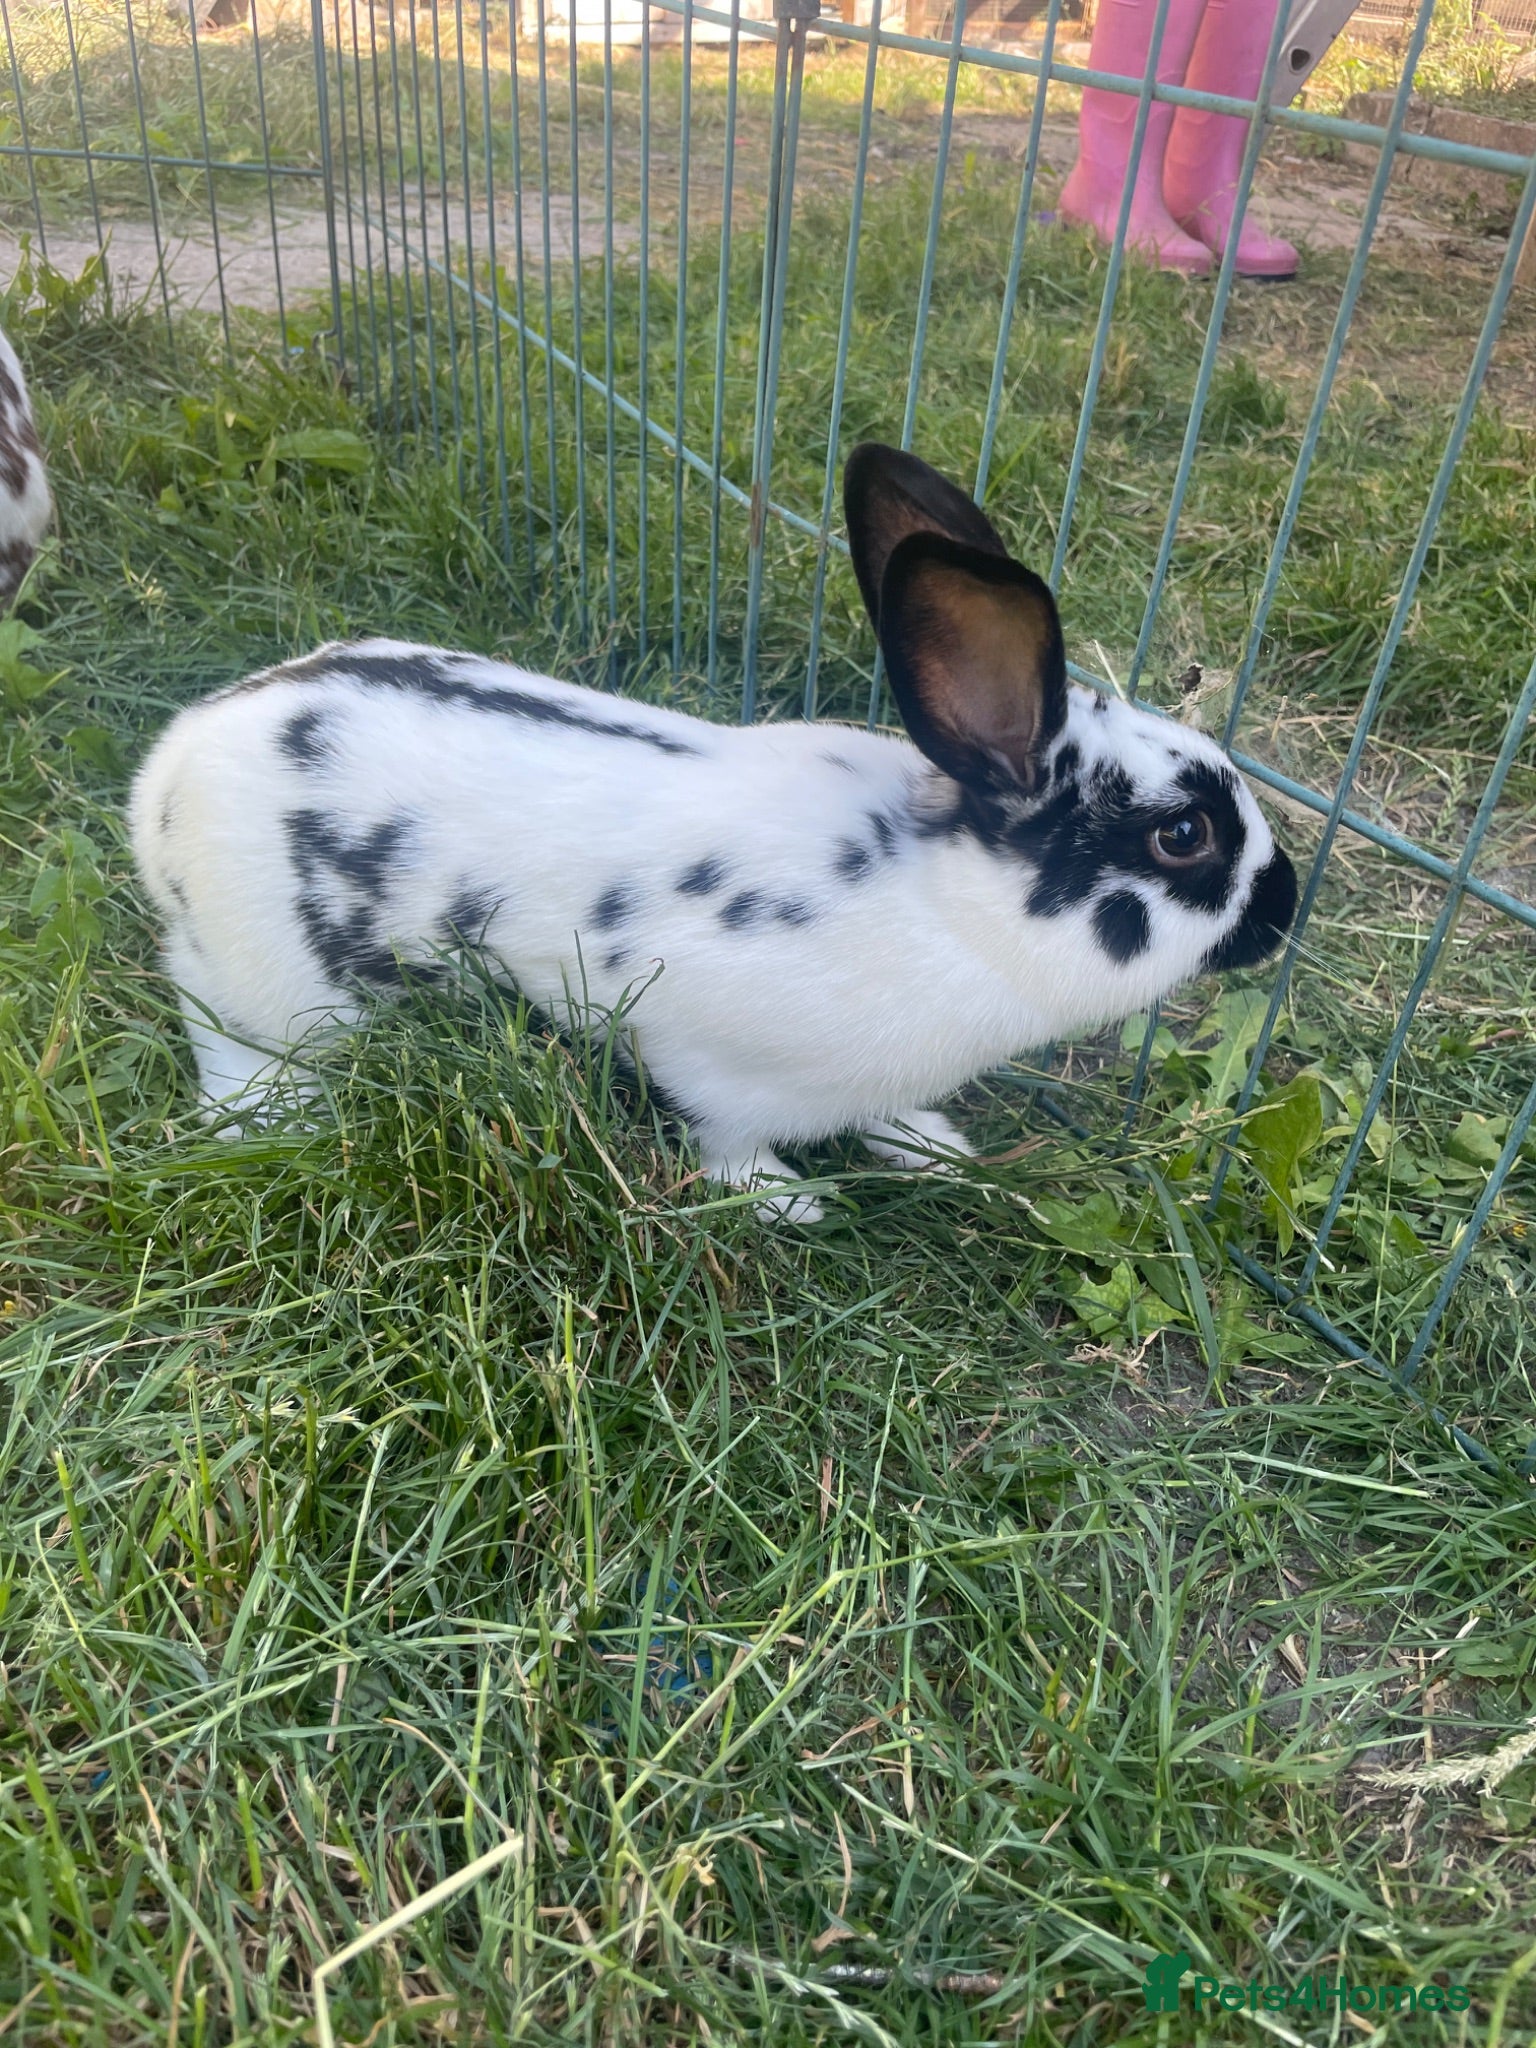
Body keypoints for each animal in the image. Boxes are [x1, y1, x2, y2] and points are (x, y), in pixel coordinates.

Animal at [129, 443, 1297, 1221]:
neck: (948, 907)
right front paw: (787, 1201)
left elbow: (893, 1120)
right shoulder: (709, 1060)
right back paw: (269, 1120)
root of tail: (168, 767)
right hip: (262, 986)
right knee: (229, 1042)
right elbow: (726, 1140)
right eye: (1184, 835)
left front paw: (936, 1149)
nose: (1286, 906)